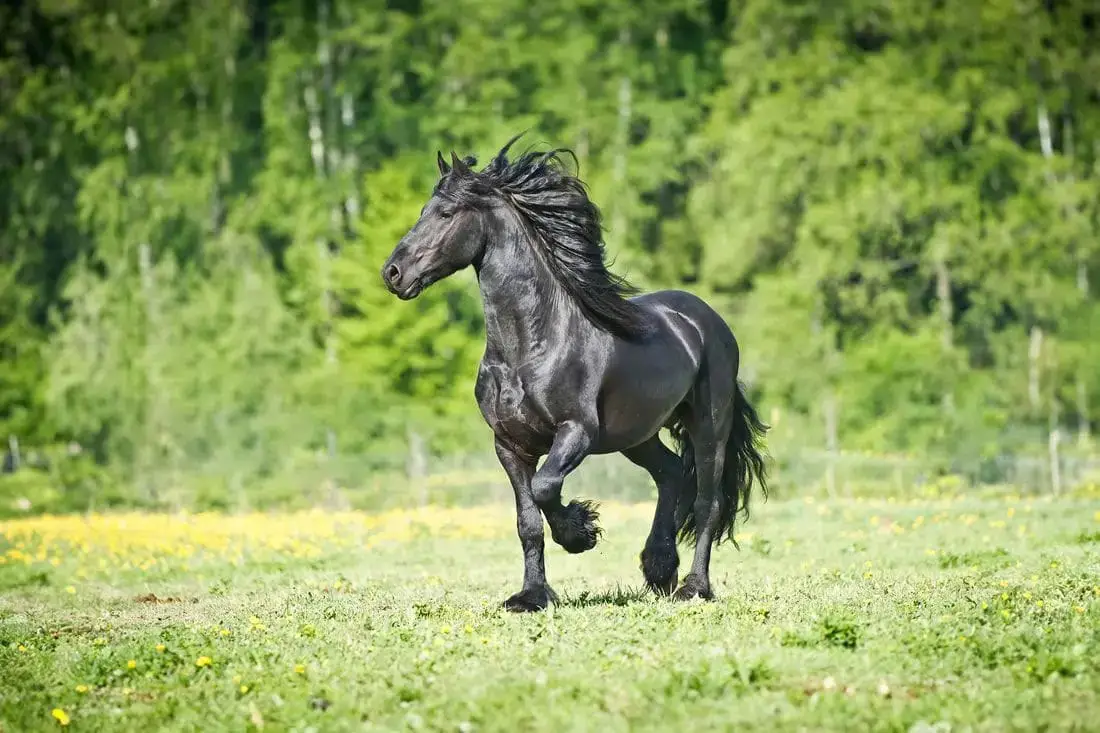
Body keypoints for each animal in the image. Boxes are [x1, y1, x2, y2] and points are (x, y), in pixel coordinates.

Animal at [381, 134, 769, 612]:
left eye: (446, 214)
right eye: (424, 210)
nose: (393, 273)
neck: (530, 348)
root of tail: (707, 320)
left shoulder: (576, 432)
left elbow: (546, 487)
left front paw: (580, 533)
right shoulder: (509, 445)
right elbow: (527, 521)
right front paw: (530, 596)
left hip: (709, 426)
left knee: (706, 502)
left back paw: (693, 587)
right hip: (637, 434)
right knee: (671, 473)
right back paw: (658, 567)